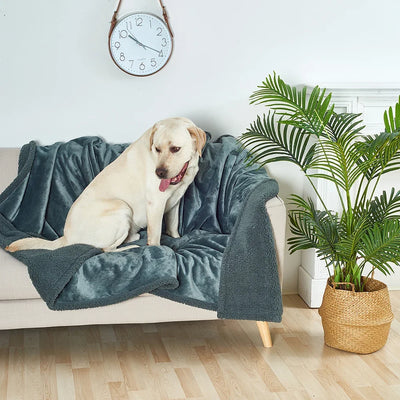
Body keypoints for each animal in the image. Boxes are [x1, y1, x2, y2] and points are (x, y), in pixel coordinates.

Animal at [6, 117, 206, 252]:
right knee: (105, 249)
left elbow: (173, 226)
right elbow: (155, 235)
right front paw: (157, 250)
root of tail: (66, 238)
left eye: (175, 149)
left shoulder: (174, 202)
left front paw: (176, 238)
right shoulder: (156, 204)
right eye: (157, 149)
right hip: (122, 209)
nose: (159, 173)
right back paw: (131, 246)